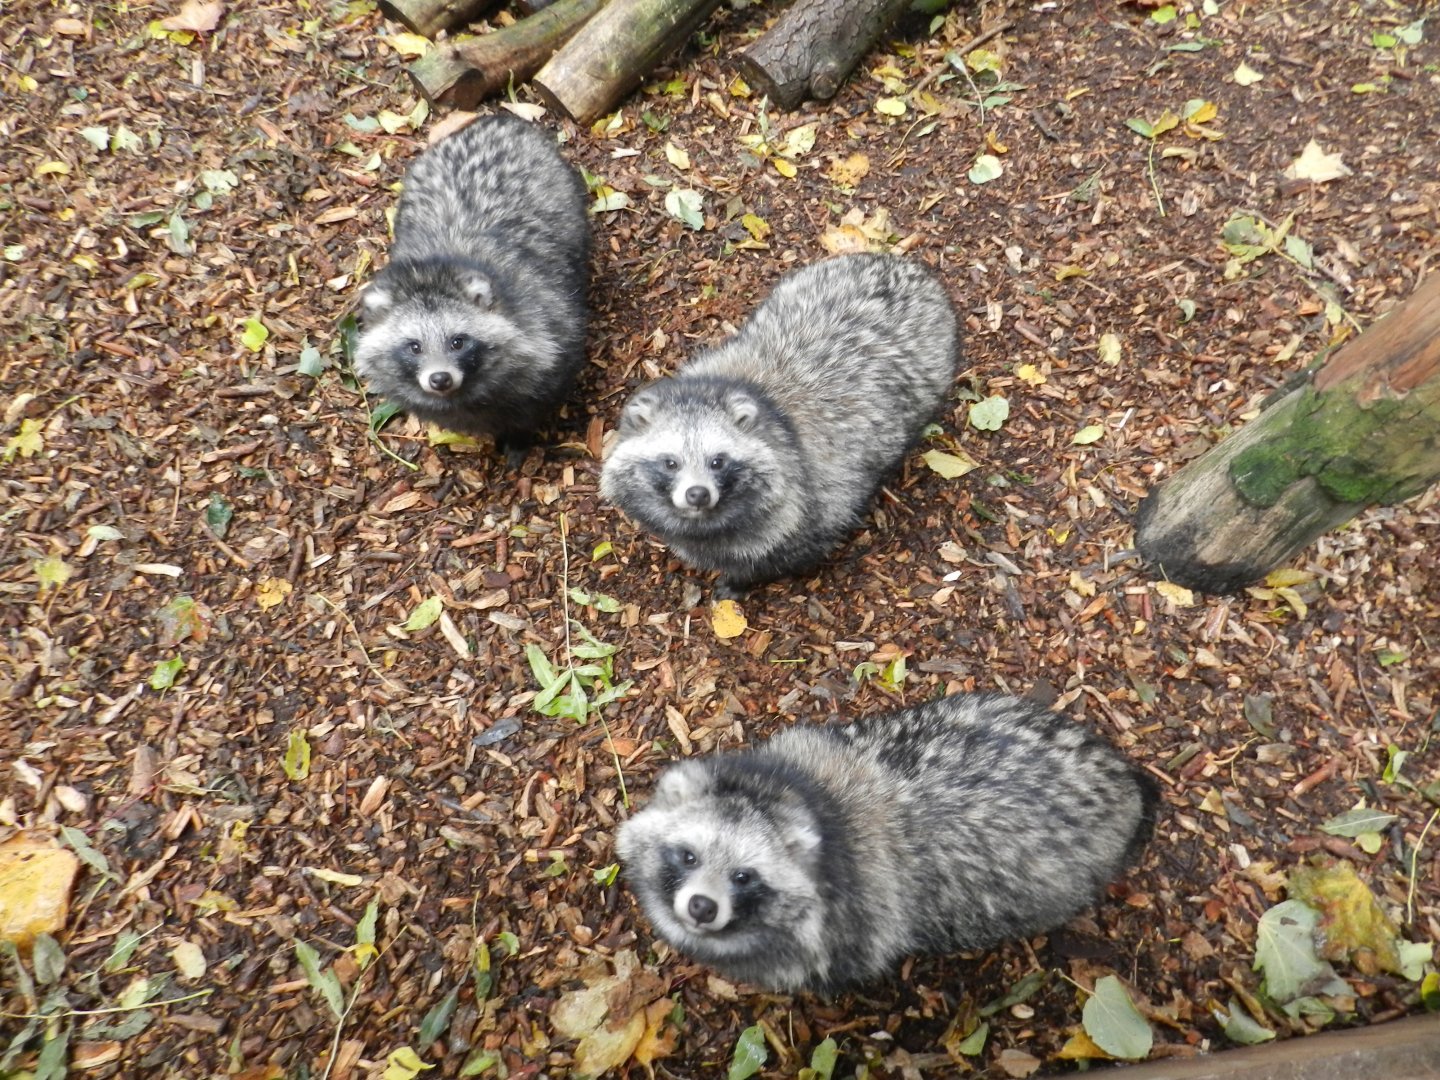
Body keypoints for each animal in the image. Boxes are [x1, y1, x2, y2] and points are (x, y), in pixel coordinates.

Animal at [354, 114, 590, 456]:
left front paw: (519, 435)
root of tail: (500, 119)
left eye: (458, 342)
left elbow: (539, 400)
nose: (440, 378)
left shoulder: (551, 326)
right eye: (414, 346)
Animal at [599, 253, 960, 597]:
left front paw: (741, 580)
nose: (697, 494)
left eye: (718, 461)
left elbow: (783, 553)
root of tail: (909, 268)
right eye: (670, 462)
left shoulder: (816, 503)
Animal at [615, 694, 1158, 994]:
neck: (800, 797)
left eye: (744, 877)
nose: (702, 907)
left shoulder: (851, 929)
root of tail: (1121, 778)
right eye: (688, 855)